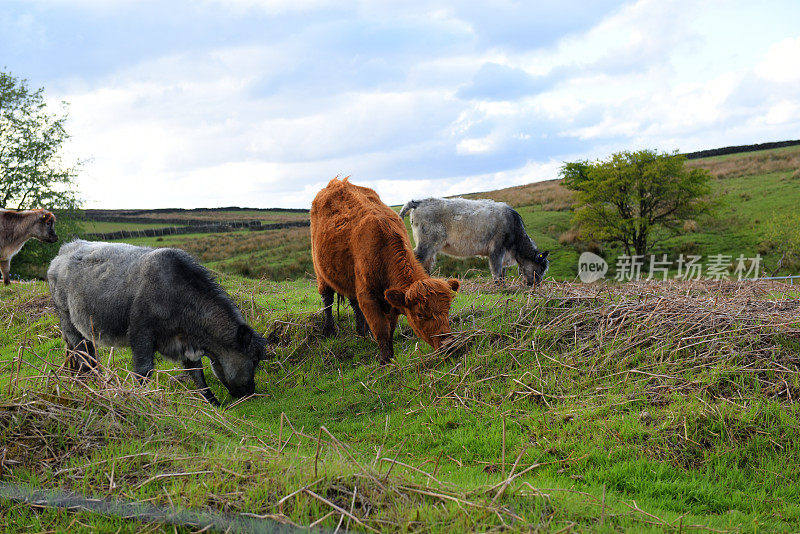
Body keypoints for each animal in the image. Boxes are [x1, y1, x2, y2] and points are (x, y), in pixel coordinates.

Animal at [46, 241, 266, 404]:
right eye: (254, 360)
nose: (251, 392)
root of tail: (64, 249)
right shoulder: (141, 334)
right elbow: (144, 372)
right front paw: (139, 398)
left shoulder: (186, 343)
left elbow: (197, 374)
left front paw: (212, 402)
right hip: (68, 321)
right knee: (81, 353)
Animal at [310, 176, 460, 364]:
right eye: (420, 314)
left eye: (448, 308)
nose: (449, 344)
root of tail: (337, 182)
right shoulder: (368, 296)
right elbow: (381, 329)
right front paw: (384, 361)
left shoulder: (391, 300)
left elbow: (390, 329)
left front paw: (390, 357)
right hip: (321, 273)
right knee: (328, 300)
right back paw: (329, 330)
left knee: (353, 302)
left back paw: (362, 331)